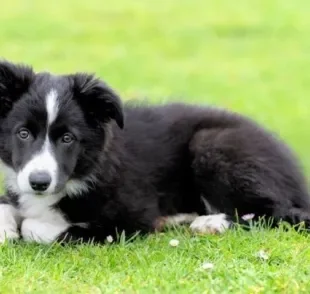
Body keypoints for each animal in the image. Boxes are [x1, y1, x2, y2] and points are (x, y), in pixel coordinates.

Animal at [0, 60, 310, 245]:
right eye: (23, 133)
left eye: (68, 138)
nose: (39, 183)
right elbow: (8, 204)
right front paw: (7, 227)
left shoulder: (128, 218)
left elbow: (39, 227)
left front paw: (28, 226)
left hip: (211, 145)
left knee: (280, 213)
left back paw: (211, 223)